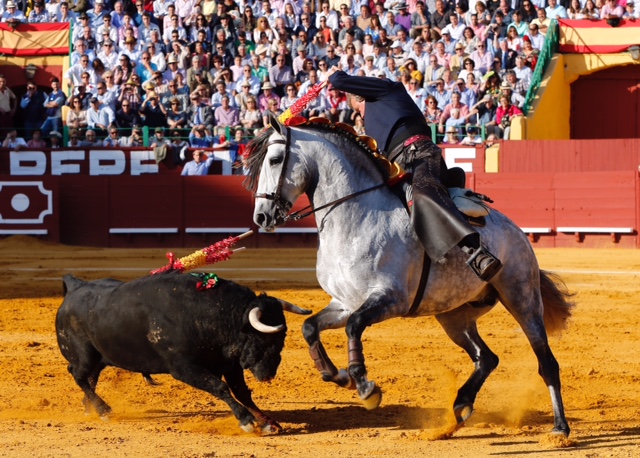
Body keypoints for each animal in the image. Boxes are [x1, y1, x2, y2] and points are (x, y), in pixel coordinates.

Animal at [245, 117, 575, 437]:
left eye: (275, 159)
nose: (261, 217)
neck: (355, 217)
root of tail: (514, 230)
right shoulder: (345, 302)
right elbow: (310, 327)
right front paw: (338, 375)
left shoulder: (390, 299)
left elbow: (354, 327)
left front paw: (365, 387)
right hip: (454, 315)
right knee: (486, 357)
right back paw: (460, 406)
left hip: (521, 297)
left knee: (546, 362)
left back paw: (560, 428)